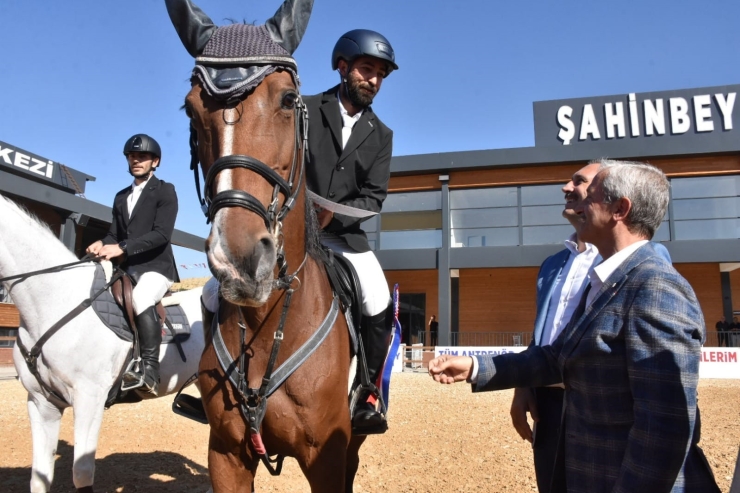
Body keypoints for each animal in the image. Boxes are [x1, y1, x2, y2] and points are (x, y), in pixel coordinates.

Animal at [165, 0, 368, 492]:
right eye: (190, 110)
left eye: (287, 100)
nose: (239, 261)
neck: (269, 320)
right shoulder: (226, 454)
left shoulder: (327, 457)